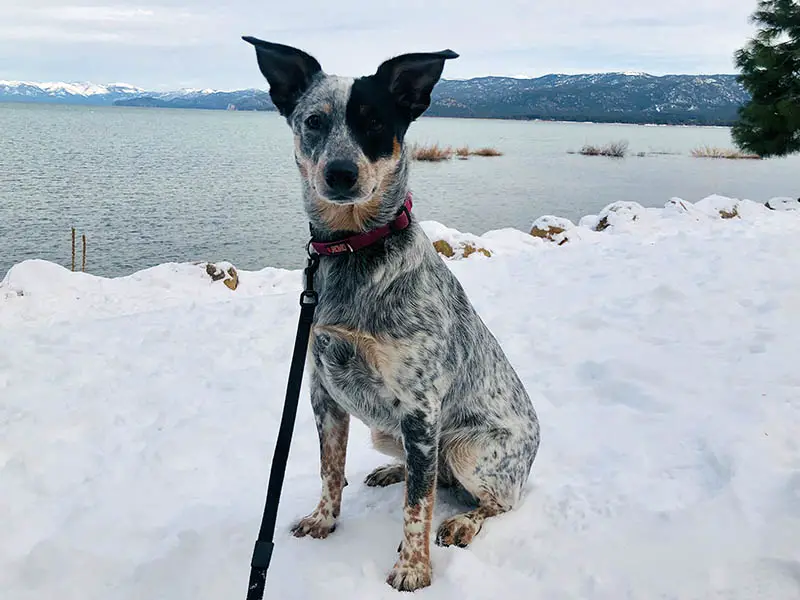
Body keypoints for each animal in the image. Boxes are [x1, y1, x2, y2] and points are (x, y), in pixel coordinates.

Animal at [244, 36, 540, 592]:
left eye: (376, 122)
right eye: (314, 120)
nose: (340, 173)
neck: (353, 249)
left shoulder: (421, 408)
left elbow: (417, 507)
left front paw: (413, 568)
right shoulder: (323, 392)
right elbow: (329, 468)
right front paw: (325, 520)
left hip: (467, 448)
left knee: (491, 500)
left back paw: (464, 520)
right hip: (390, 432)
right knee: (427, 474)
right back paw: (391, 472)